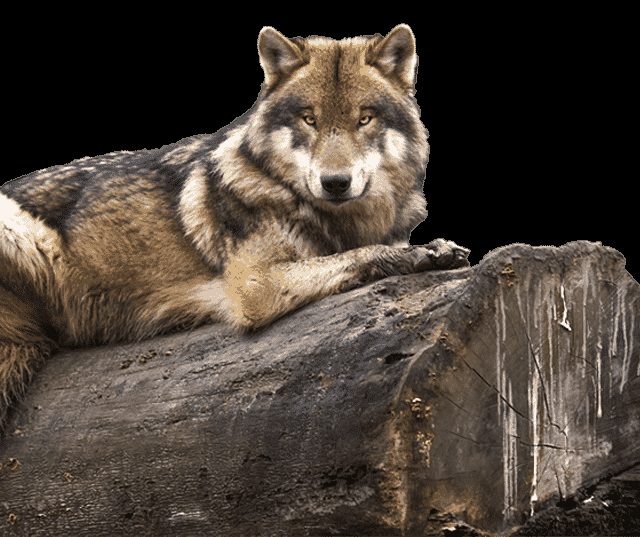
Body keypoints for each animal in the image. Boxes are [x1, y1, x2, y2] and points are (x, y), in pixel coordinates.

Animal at [0, 24, 469, 427]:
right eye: (309, 119)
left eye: (364, 119)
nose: (335, 182)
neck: (340, 220)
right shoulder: (255, 285)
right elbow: (359, 255)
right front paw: (424, 254)